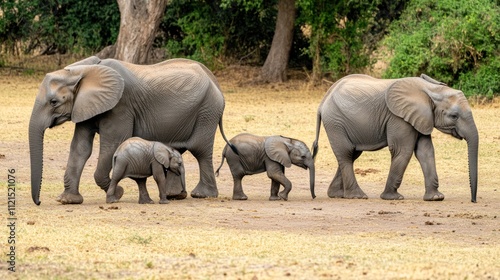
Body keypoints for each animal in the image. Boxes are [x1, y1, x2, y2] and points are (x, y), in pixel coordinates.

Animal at [30, 56, 233, 206]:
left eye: (54, 102)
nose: (38, 202)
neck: (83, 70)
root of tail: (215, 80)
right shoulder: (85, 106)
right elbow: (80, 148)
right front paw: (68, 200)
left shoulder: (121, 106)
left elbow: (112, 144)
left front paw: (117, 194)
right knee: (177, 150)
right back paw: (175, 196)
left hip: (207, 111)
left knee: (200, 150)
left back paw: (202, 195)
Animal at [310, 74, 478, 201]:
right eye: (454, 116)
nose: (473, 200)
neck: (431, 89)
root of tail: (324, 100)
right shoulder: (399, 118)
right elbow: (402, 151)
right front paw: (392, 197)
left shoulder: (420, 118)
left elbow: (425, 151)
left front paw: (436, 198)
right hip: (335, 122)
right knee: (346, 153)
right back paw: (357, 196)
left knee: (351, 154)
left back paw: (337, 194)